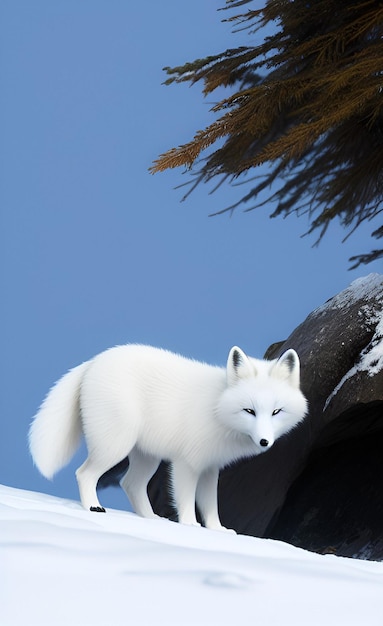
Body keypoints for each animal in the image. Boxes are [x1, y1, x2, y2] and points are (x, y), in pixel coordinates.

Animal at [28, 344, 308, 528]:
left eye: (276, 412)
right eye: (249, 411)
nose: (264, 442)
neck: (216, 408)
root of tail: (94, 361)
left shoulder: (210, 468)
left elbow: (210, 505)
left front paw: (217, 531)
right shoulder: (187, 464)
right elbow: (185, 499)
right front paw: (190, 527)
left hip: (147, 457)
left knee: (130, 484)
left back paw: (151, 519)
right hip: (115, 446)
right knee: (84, 474)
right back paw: (93, 507)